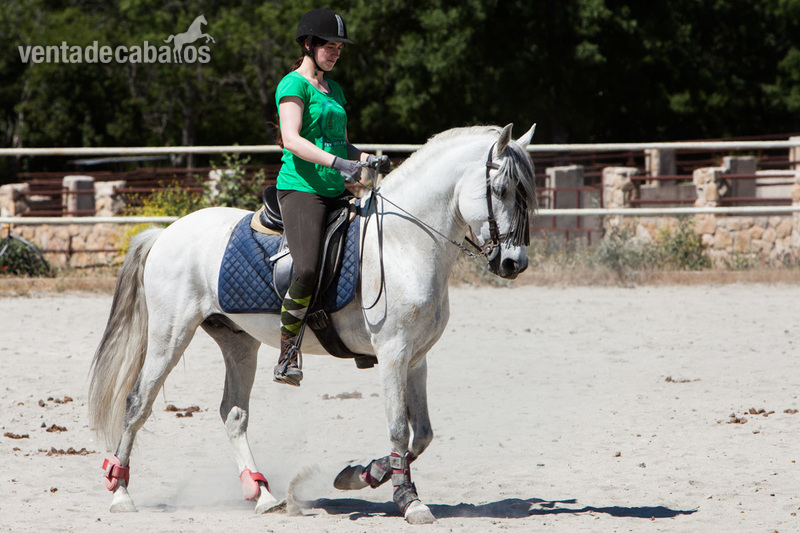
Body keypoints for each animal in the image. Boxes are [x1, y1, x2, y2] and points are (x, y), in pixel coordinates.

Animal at [88, 123, 537, 524]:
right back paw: (121, 493)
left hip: (238, 342)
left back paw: (263, 495)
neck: (402, 243)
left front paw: (360, 475)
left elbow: (422, 433)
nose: (513, 263)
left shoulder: (416, 358)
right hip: (170, 335)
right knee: (138, 403)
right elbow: (398, 428)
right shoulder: (392, 354)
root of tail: (165, 233)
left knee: (233, 414)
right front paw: (409, 501)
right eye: (500, 190)